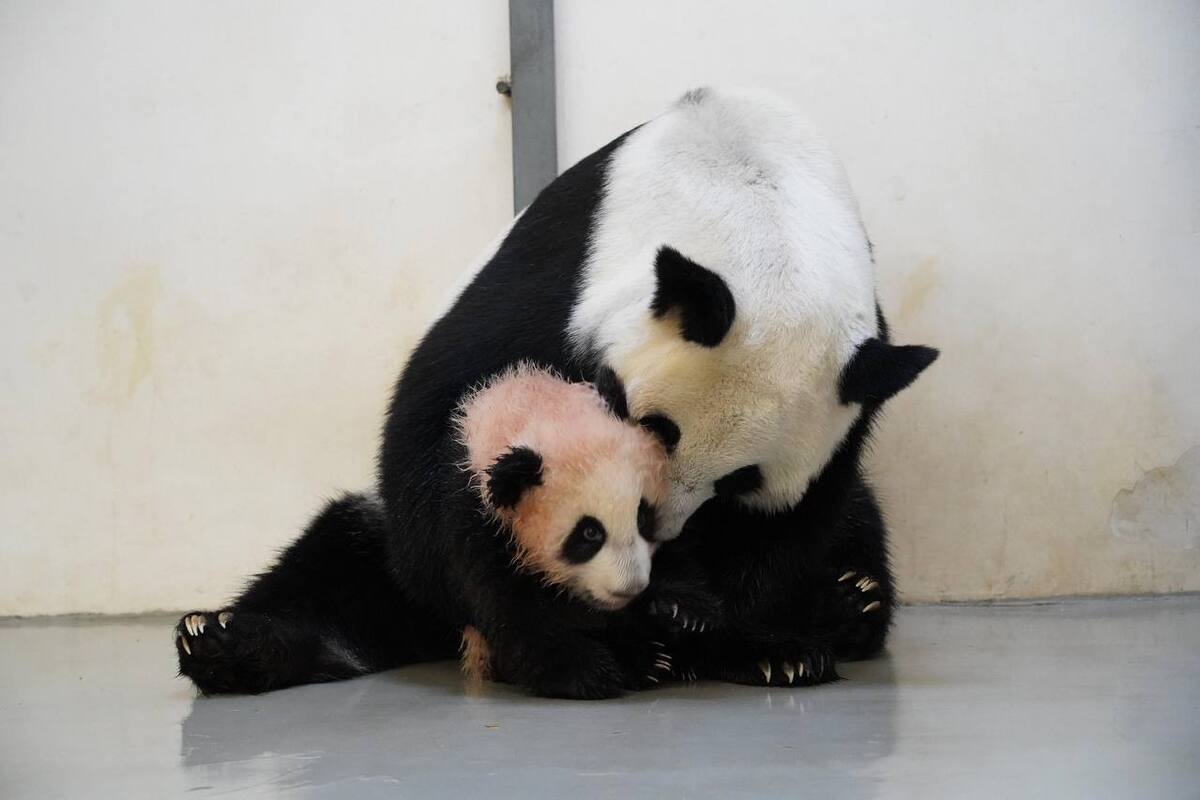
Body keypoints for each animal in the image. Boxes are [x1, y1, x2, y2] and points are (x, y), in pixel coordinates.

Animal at [178, 364, 704, 698]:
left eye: (645, 517)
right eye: (587, 535)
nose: (630, 587)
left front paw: (674, 616)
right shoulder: (467, 519)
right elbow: (513, 610)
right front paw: (586, 670)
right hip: (374, 555)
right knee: (318, 591)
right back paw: (217, 641)